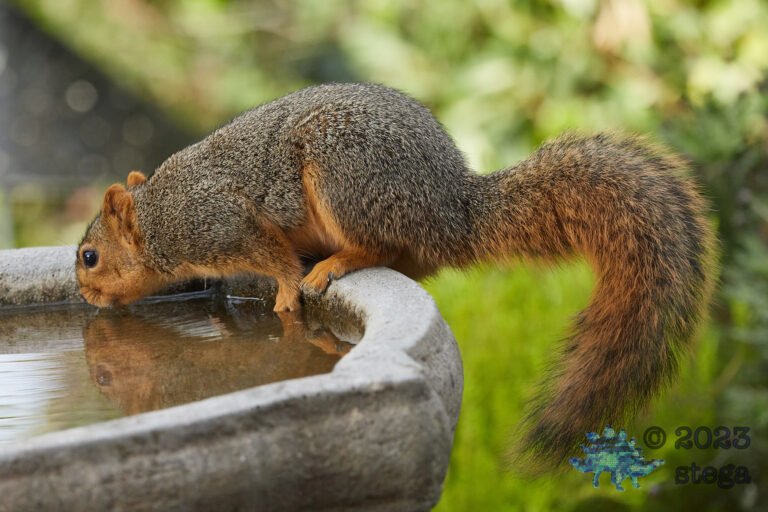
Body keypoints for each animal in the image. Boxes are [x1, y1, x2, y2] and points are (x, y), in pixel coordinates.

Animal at [76, 82, 716, 464]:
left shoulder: (220, 224)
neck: (159, 217)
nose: (85, 298)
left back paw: (334, 264)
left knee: (377, 243)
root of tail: (453, 209)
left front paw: (283, 296)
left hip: (345, 172)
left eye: (89, 257)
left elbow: (273, 258)